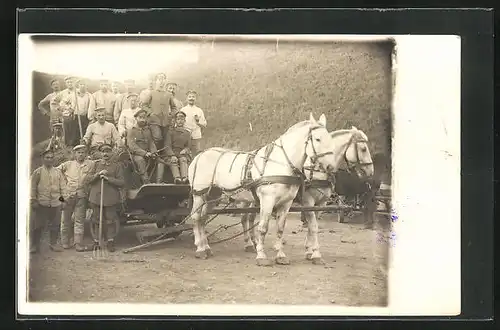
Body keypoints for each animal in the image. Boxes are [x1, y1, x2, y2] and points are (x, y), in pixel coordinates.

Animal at [188, 113, 340, 266]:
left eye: (329, 139)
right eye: (317, 139)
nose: (331, 167)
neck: (281, 164)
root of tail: (199, 155)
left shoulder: (286, 203)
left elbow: (280, 229)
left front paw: (281, 256)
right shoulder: (268, 200)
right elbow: (263, 228)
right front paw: (261, 256)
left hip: (213, 195)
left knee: (203, 218)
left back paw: (206, 247)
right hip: (199, 195)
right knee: (195, 217)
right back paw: (200, 249)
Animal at [240, 125, 374, 264]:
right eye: (363, 149)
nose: (371, 171)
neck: (317, 171)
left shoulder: (321, 204)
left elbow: (311, 227)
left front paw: (309, 251)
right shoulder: (308, 201)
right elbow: (313, 226)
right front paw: (315, 254)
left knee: (250, 218)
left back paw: (255, 242)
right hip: (248, 199)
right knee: (244, 218)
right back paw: (249, 243)